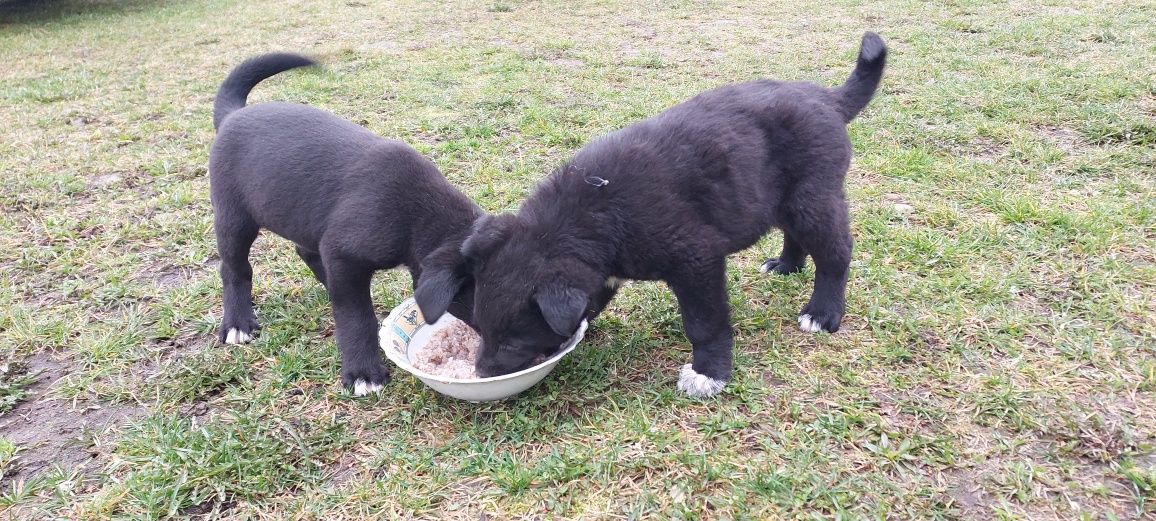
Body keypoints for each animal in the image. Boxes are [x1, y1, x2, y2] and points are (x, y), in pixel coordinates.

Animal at [420, 32, 887, 397]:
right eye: (481, 328)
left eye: (512, 341)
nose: (481, 373)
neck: (593, 208)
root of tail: (827, 98)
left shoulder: (695, 258)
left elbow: (704, 322)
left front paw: (709, 373)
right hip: (785, 197)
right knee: (794, 234)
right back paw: (787, 265)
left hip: (812, 196)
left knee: (835, 252)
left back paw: (823, 312)